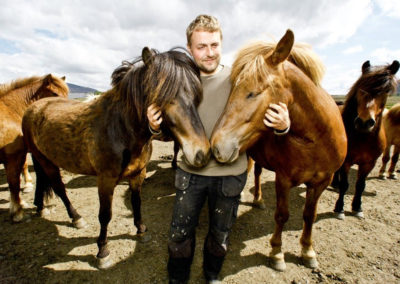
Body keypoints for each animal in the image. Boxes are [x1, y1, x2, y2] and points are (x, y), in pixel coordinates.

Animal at [22, 47, 211, 270]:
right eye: (163, 96)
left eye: (195, 95)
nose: (201, 152)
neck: (120, 129)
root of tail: (34, 107)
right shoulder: (106, 179)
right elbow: (105, 215)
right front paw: (102, 251)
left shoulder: (138, 173)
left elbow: (137, 202)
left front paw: (140, 230)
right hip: (45, 160)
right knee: (59, 188)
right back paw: (76, 217)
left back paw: (40, 207)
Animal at [209, 30, 346, 272]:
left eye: (252, 93)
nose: (217, 145)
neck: (317, 139)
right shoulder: (283, 179)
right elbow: (282, 215)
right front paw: (276, 252)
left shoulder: (322, 181)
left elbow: (309, 215)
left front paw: (307, 251)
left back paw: (258, 199)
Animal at [332, 60, 398, 220]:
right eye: (361, 88)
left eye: (386, 90)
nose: (364, 122)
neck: (363, 137)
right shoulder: (347, 161)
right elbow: (345, 184)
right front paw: (339, 208)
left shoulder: (369, 163)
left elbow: (360, 185)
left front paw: (357, 207)